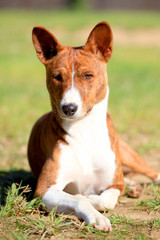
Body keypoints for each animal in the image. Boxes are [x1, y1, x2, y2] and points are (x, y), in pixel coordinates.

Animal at [28, 21, 160, 232]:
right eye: (57, 76)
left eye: (88, 75)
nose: (69, 108)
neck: (84, 129)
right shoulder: (44, 189)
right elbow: (79, 199)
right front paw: (95, 215)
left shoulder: (115, 184)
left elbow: (105, 199)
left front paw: (91, 197)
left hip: (129, 156)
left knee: (152, 173)